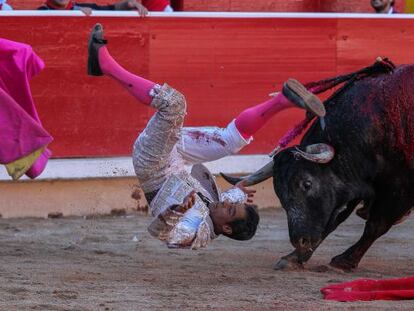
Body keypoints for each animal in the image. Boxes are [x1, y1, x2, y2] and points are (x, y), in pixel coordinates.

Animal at [225, 62, 414, 272]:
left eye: (307, 184)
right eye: (279, 193)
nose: (300, 241)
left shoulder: (401, 188)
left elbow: (376, 225)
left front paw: (344, 260)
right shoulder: (354, 182)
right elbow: (333, 221)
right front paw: (294, 257)